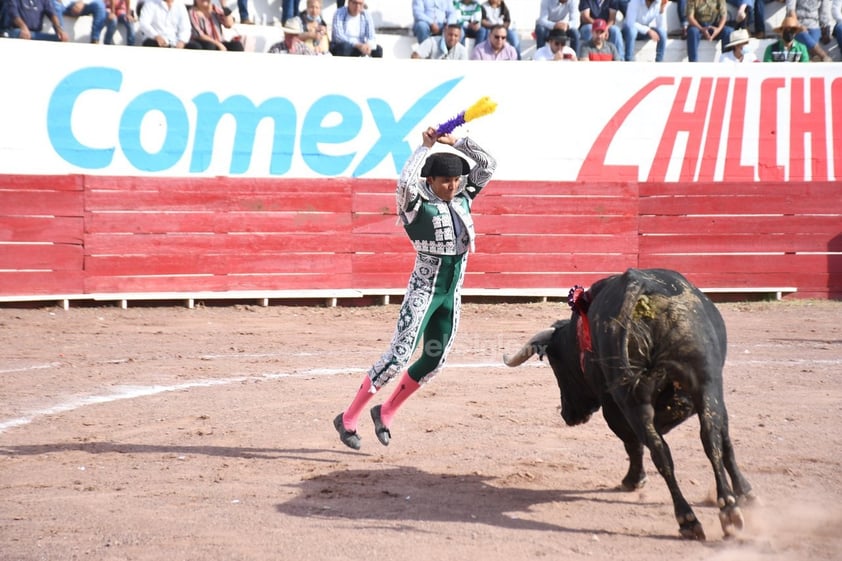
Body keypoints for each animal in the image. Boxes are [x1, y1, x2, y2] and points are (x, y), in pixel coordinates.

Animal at [502, 270, 752, 540]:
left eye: (555, 364)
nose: (567, 414)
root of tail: (640, 286)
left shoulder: (612, 406)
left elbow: (632, 443)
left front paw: (634, 480)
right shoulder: (713, 392)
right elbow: (724, 442)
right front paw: (745, 492)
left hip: (633, 399)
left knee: (659, 449)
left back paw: (688, 519)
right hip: (704, 385)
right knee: (708, 440)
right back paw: (727, 509)